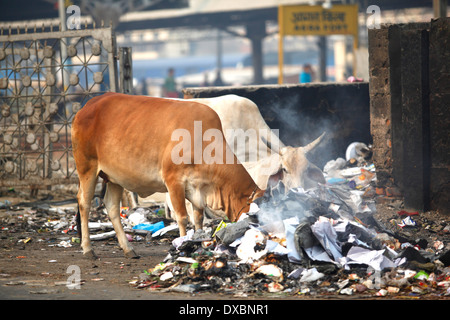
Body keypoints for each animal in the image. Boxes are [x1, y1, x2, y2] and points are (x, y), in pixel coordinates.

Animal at [71, 92, 264, 258]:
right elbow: (182, 218)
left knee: (111, 207)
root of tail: (90, 105)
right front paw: (183, 246)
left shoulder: (198, 189)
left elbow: (198, 219)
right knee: (84, 202)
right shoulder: (174, 182)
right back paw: (88, 249)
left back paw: (128, 248)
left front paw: (200, 246)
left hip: (114, 177)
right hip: (87, 167)